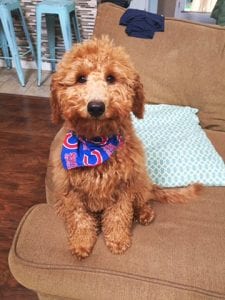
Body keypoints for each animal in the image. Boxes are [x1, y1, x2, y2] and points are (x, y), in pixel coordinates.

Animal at [49, 37, 200, 258]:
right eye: (80, 78)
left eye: (111, 78)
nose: (96, 107)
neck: (96, 144)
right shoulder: (71, 190)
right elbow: (79, 219)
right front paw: (81, 243)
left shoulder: (123, 186)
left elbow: (119, 216)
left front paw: (118, 240)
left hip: (139, 180)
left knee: (142, 200)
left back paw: (144, 213)